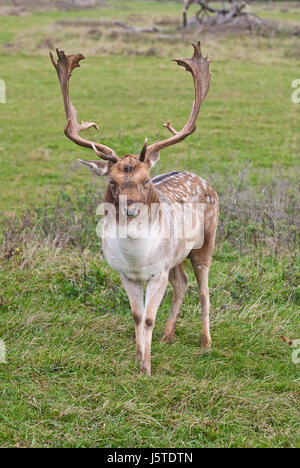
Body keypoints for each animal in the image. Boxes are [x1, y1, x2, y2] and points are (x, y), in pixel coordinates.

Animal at [51, 41, 218, 376]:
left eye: (146, 180)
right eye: (113, 182)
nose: (130, 210)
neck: (138, 259)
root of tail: (203, 179)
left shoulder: (157, 272)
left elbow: (149, 317)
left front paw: (148, 369)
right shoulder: (126, 273)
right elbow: (137, 317)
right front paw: (139, 358)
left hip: (207, 241)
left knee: (204, 288)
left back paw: (206, 342)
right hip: (175, 259)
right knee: (182, 284)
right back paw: (168, 336)